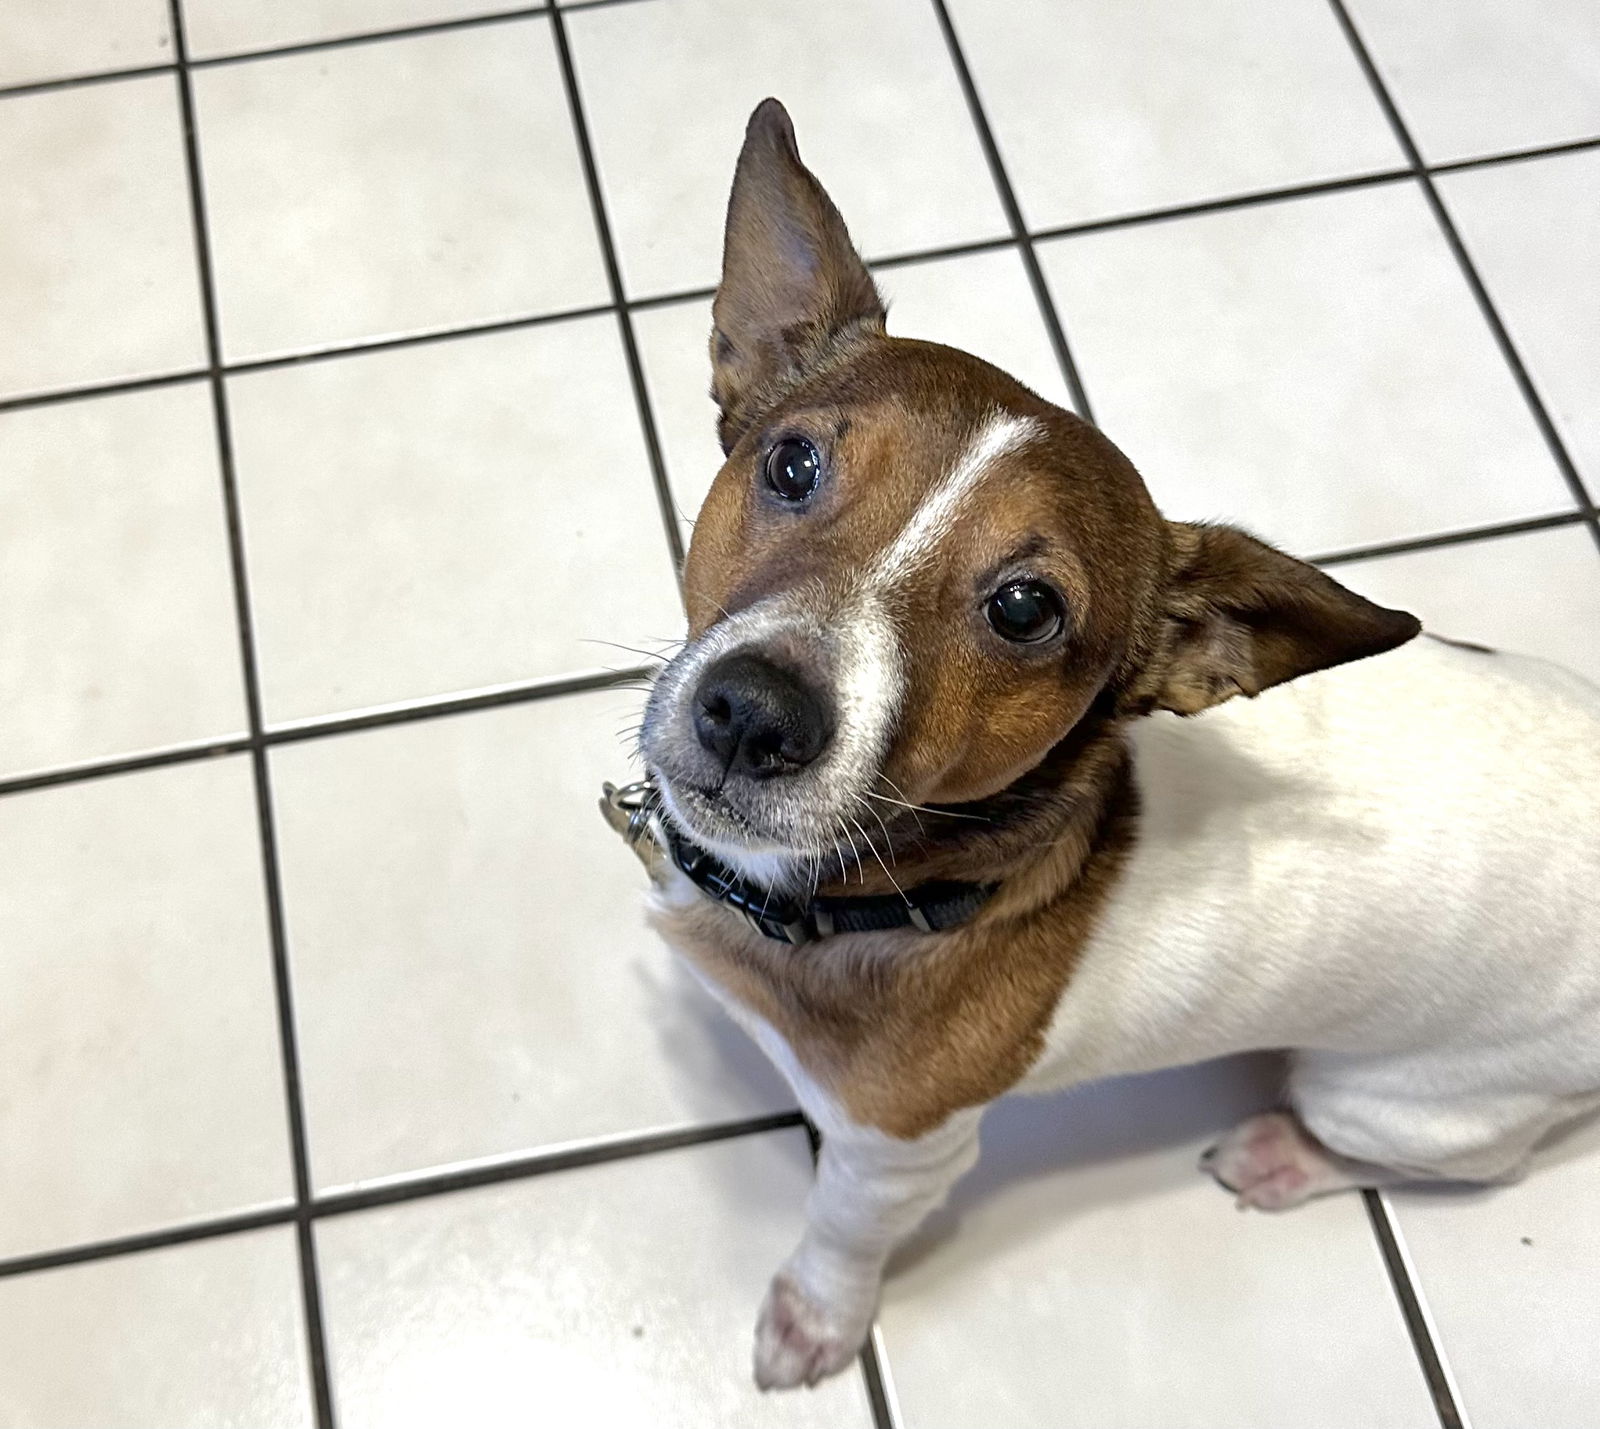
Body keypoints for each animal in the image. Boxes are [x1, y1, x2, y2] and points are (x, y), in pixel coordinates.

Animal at [617, 97, 1600, 1382]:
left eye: (1025, 609)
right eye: (790, 461)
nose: (753, 712)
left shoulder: (899, 1157)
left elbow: (837, 1235)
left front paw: (813, 1316)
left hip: (1417, 1101)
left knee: (1452, 1157)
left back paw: (1280, 1156)